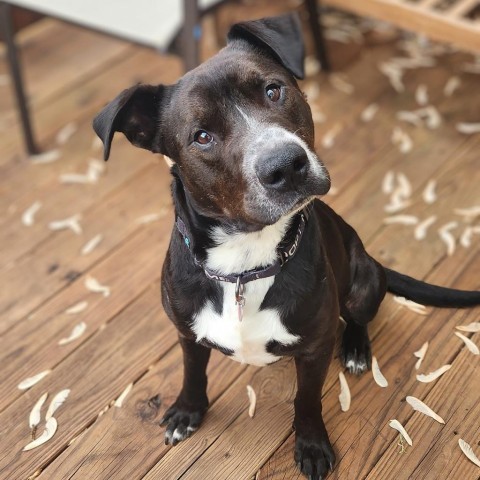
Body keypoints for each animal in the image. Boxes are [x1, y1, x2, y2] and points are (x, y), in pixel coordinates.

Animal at [94, 13, 480, 478]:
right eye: (201, 136)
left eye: (273, 90)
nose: (285, 165)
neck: (244, 263)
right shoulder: (187, 333)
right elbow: (192, 373)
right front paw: (188, 410)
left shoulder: (314, 349)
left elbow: (307, 400)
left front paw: (311, 445)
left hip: (364, 279)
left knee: (358, 316)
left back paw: (355, 349)